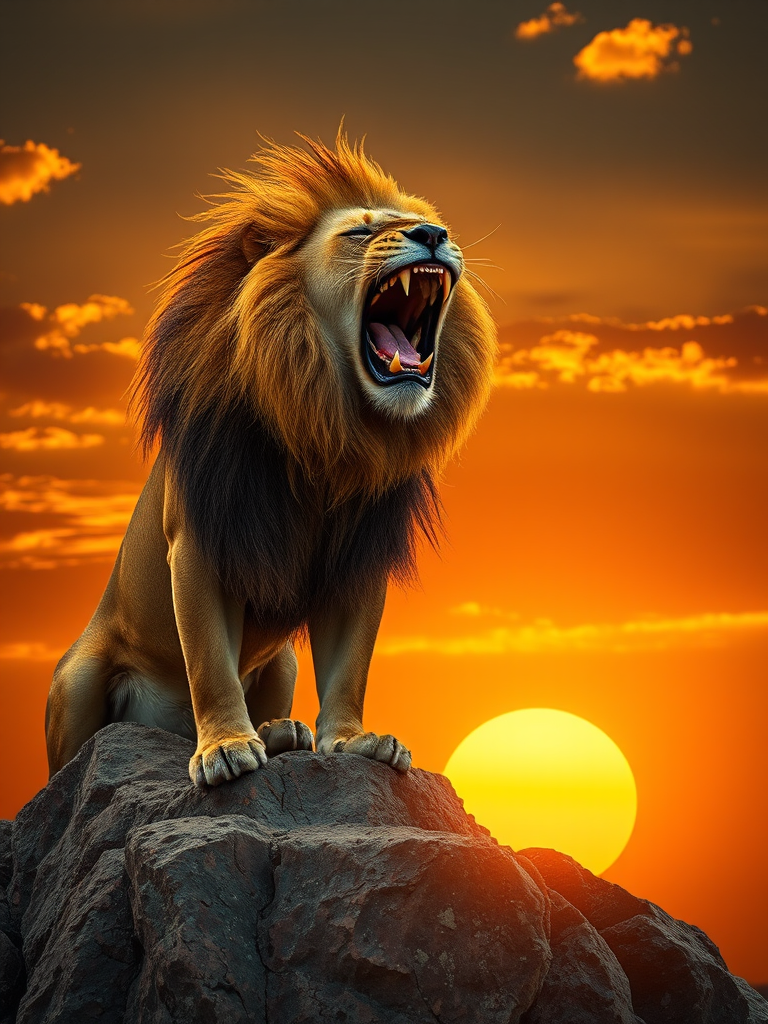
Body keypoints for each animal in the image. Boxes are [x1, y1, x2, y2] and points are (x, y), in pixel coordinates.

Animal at [45, 131, 497, 787]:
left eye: (428, 222)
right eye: (359, 233)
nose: (434, 234)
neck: (327, 430)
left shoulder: (359, 558)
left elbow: (349, 665)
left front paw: (352, 739)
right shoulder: (200, 540)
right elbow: (210, 661)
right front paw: (225, 747)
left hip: (282, 661)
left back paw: (283, 732)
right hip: (77, 678)